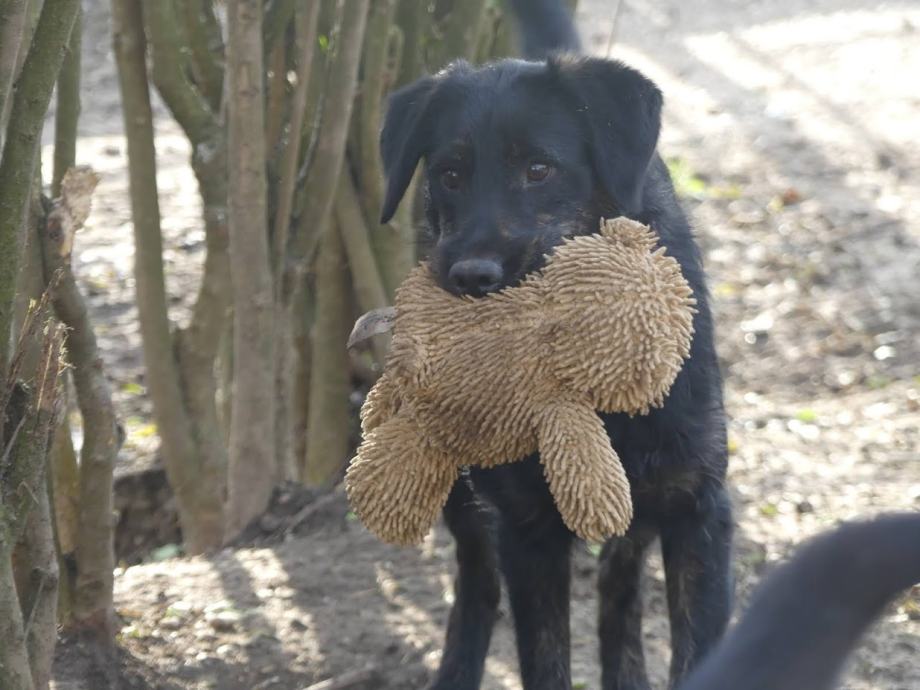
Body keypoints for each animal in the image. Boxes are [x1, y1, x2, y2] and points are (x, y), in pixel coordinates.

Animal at [378, 2, 728, 684]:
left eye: (538, 169)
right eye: (450, 175)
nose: (470, 278)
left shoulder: (698, 506)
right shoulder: (528, 531)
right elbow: (545, 658)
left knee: (619, 589)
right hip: (461, 483)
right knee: (477, 582)